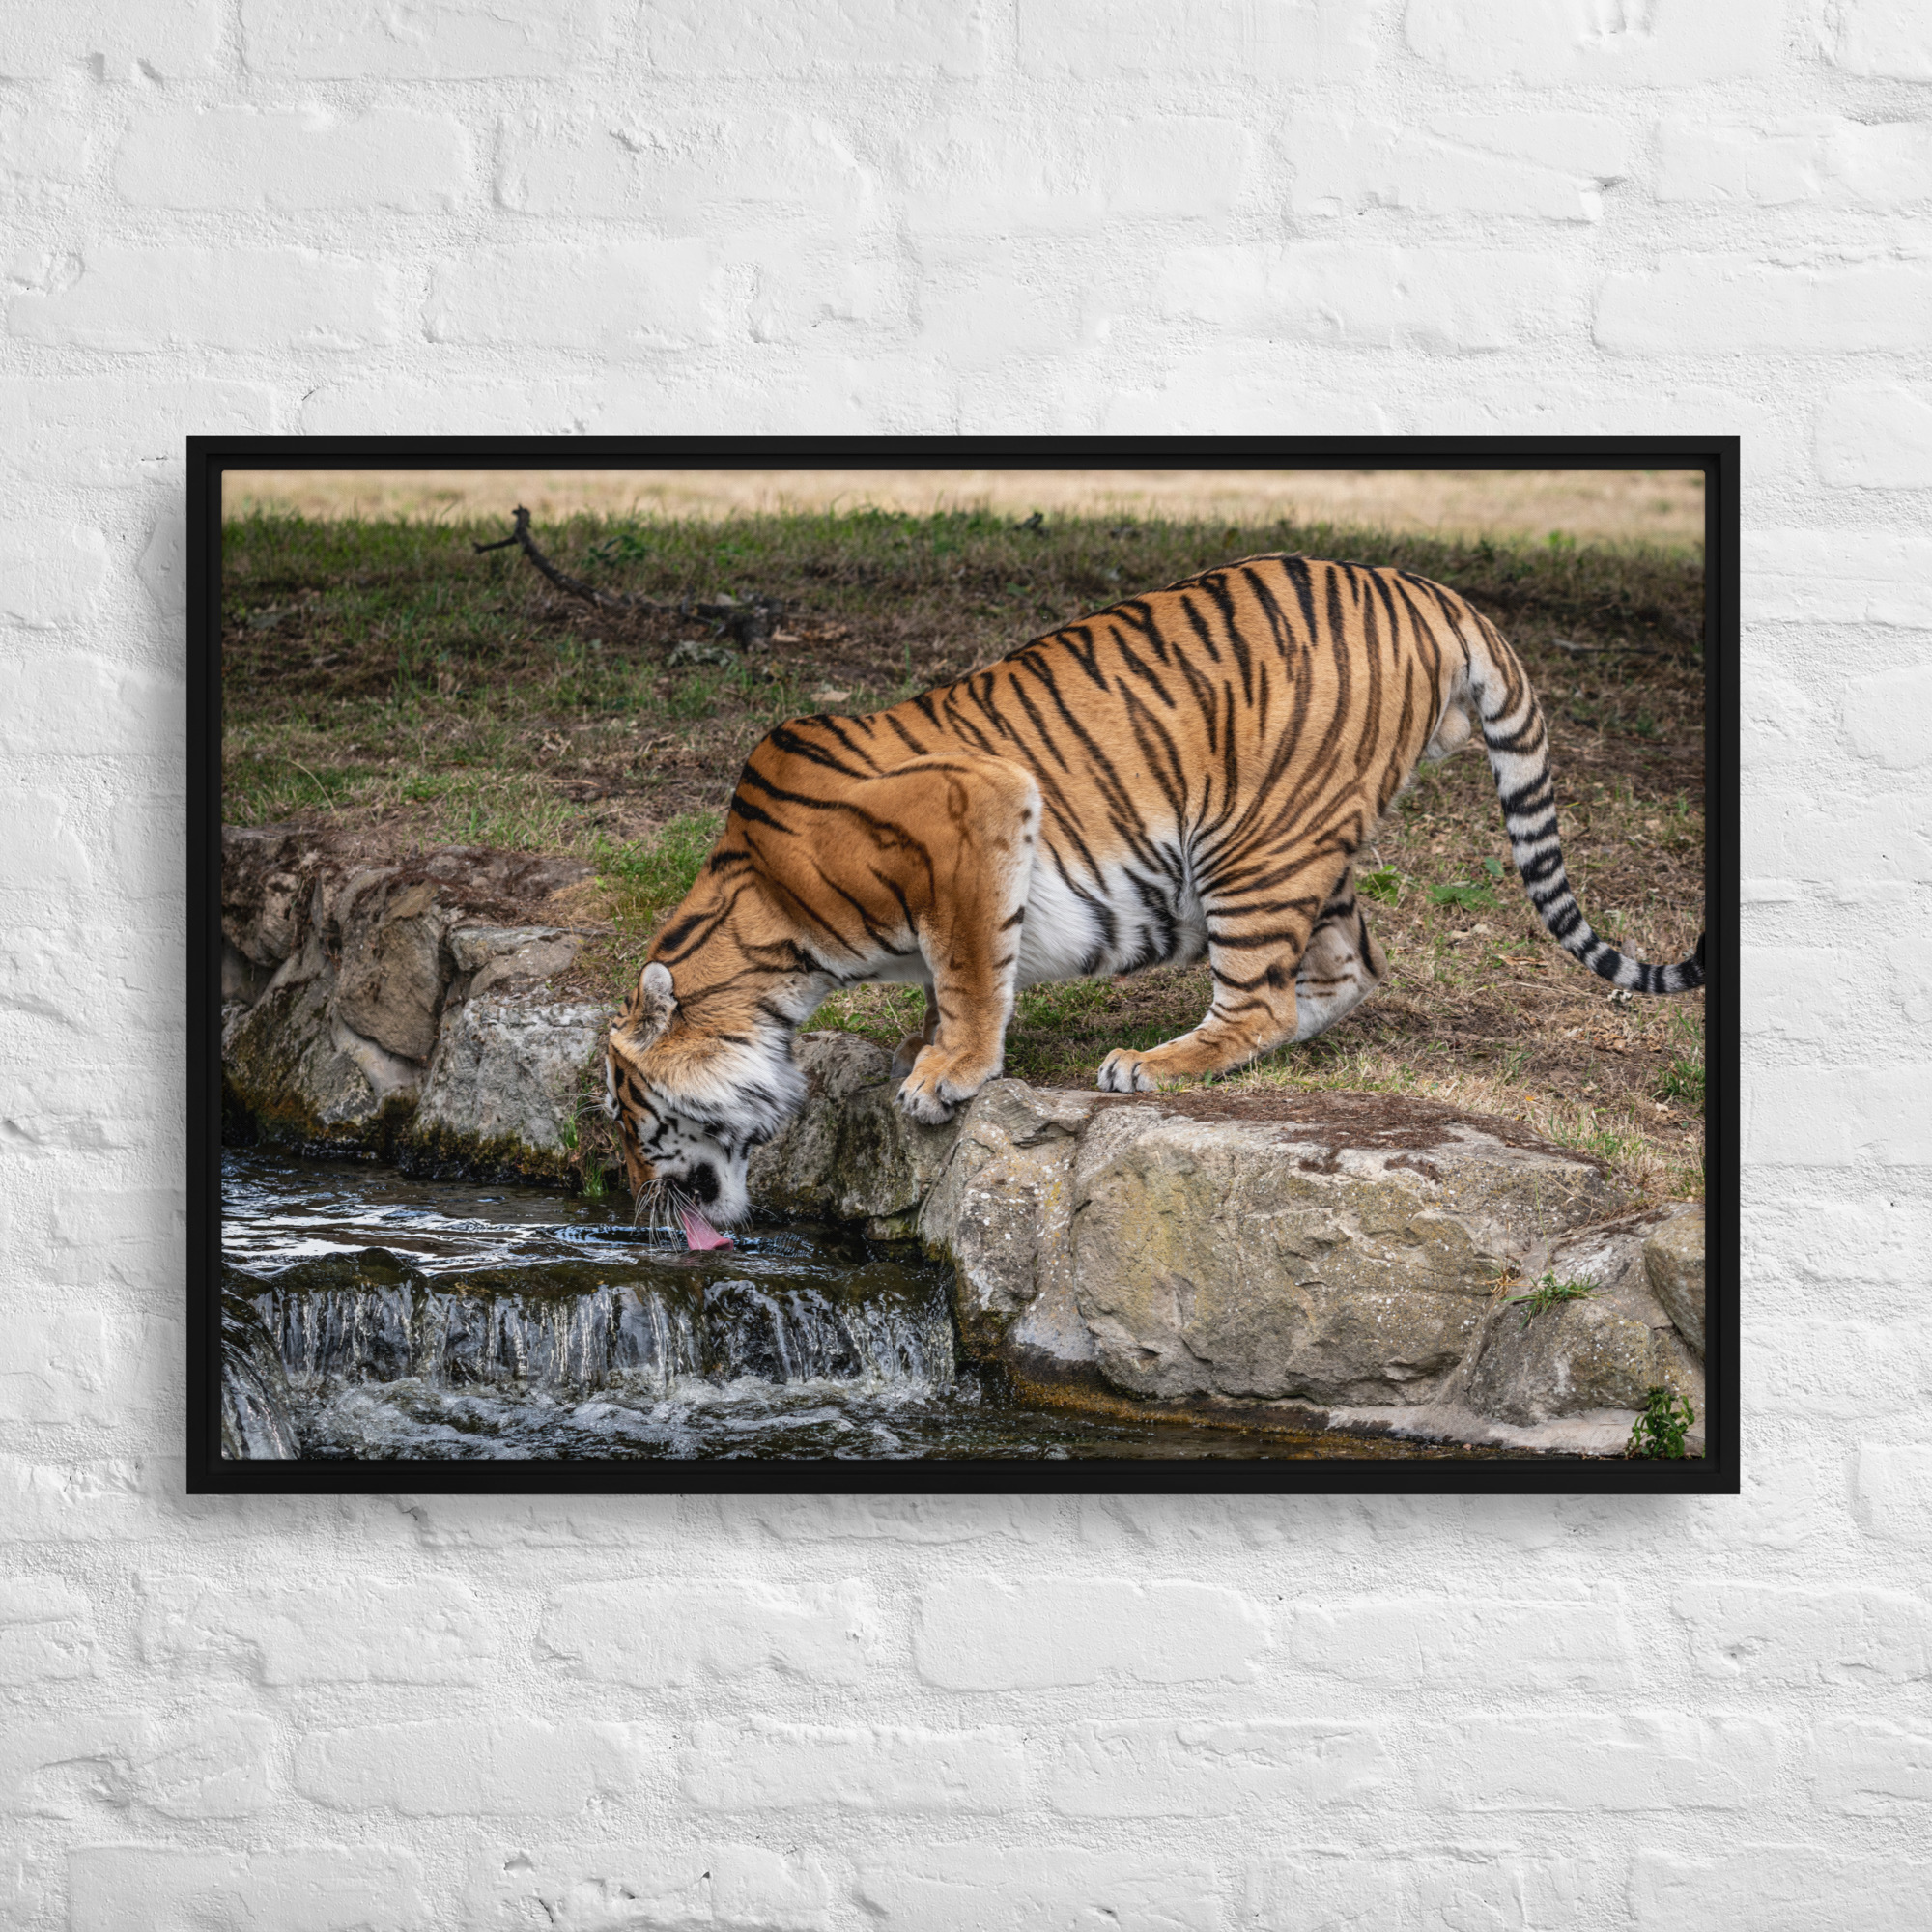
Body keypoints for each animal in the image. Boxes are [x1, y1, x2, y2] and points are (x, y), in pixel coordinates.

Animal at [603, 552, 1704, 1244]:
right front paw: (928, 1051)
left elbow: (969, 969)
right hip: (1306, 845)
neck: (766, 933)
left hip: (1249, 844)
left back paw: (1153, 1062)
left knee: (1260, 1000)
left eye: (626, 1115)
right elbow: (956, 974)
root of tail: (1429, 589)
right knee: (1348, 967)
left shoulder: (975, 809)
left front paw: (946, 1074)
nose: (630, 1203)